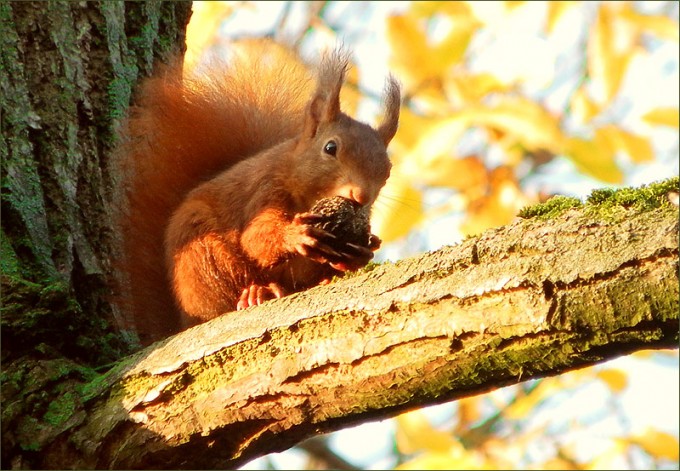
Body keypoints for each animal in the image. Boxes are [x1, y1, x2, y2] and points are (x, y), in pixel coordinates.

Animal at [116, 40, 400, 345]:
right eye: (330, 148)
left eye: (387, 170)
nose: (361, 197)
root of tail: (181, 320)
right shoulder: (264, 190)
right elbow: (255, 237)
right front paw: (296, 235)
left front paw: (364, 250)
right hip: (201, 253)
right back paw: (256, 292)